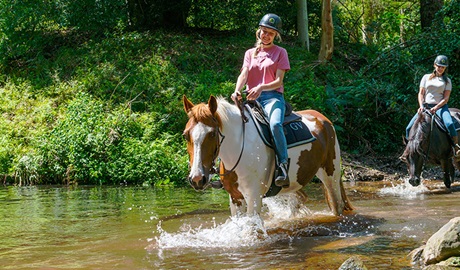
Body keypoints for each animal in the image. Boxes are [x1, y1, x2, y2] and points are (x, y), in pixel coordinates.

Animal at [182, 95, 352, 217]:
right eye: (186, 135)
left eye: (211, 134)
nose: (197, 179)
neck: (239, 149)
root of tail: (323, 119)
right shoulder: (235, 198)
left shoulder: (253, 197)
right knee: (299, 198)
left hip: (331, 175)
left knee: (337, 206)